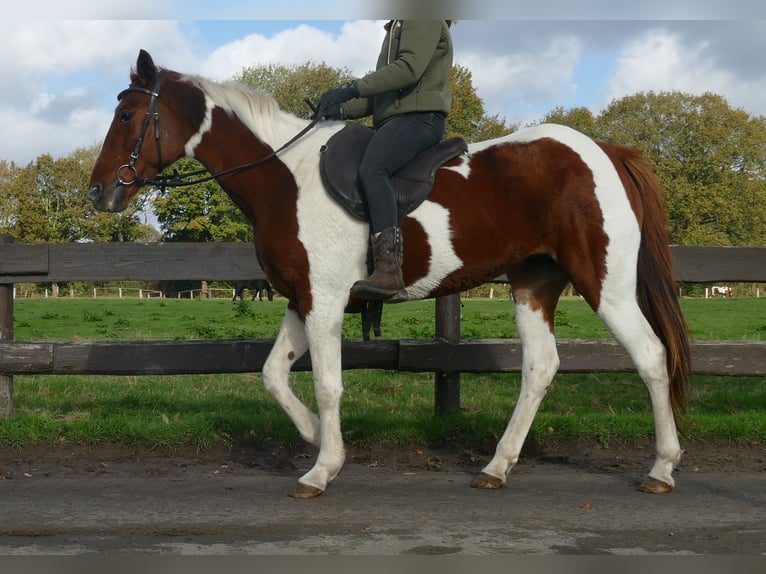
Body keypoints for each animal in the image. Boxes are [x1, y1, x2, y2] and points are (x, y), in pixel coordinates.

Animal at [87, 49, 692, 500]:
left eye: (127, 116)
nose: (98, 192)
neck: (285, 176)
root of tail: (605, 150)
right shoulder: (301, 298)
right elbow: (273, 375)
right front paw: (317, 439)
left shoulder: (325, 300)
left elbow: (327, 383)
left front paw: (322, 468)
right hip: (533, 285)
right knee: (540, 369)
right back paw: (496, 467)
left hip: (606, 286)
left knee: (651, 356)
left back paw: (661, 469)